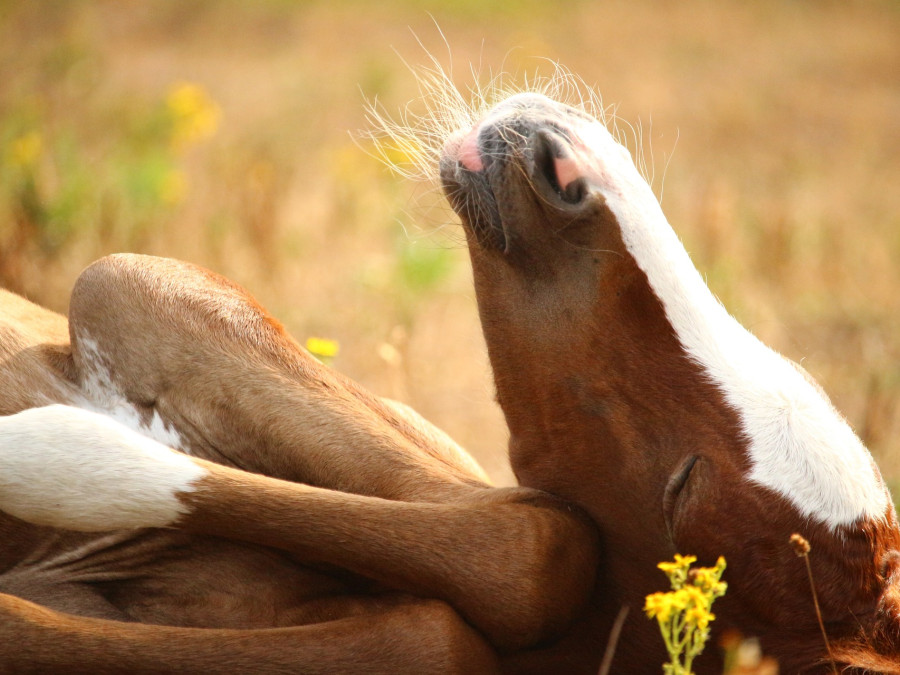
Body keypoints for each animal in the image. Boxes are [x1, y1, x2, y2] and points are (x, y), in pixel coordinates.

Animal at [0, 78, 896, 672]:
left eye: (681, 491)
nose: (561, 165)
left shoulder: (129, 295)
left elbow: (517, 563)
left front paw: (27, 459)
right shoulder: (149, 290)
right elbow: (523, 541)